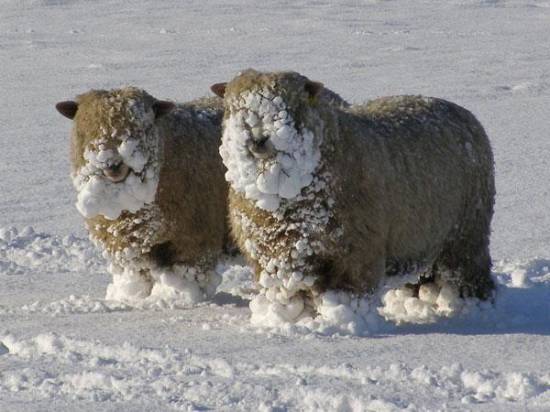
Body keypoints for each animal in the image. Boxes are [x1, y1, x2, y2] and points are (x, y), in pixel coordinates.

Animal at [56, 87, 229, 302]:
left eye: (141, 128)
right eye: (86, 128)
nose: (112, 164)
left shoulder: (195, 241)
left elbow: (188, 275)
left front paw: (179, 297)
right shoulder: (130, 250)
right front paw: (137, 298)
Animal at [213, 69, 498, 324]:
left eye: (291, 108)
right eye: (234, 108)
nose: (258, 140)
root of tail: (465, 113)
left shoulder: (354, 254)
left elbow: (349, 295)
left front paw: (344, 319)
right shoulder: (275, 257)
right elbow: (287, 295)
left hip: (465, 236)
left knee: (469, 275)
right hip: (419, 239)